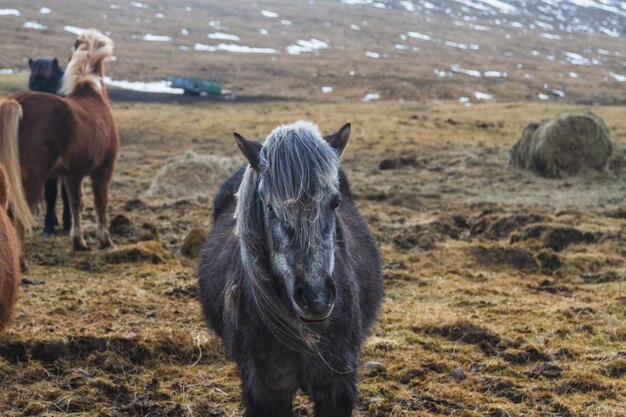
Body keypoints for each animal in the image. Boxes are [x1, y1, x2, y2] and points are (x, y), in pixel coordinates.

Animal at [0, 30, 119, 250]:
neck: (91, 92)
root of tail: (15, 102)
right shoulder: (103, 170)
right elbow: (101, 203)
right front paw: (105, 239)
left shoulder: (73, 175)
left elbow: (75, 202)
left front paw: (79, 241)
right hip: (30, 179)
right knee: (17, 217)